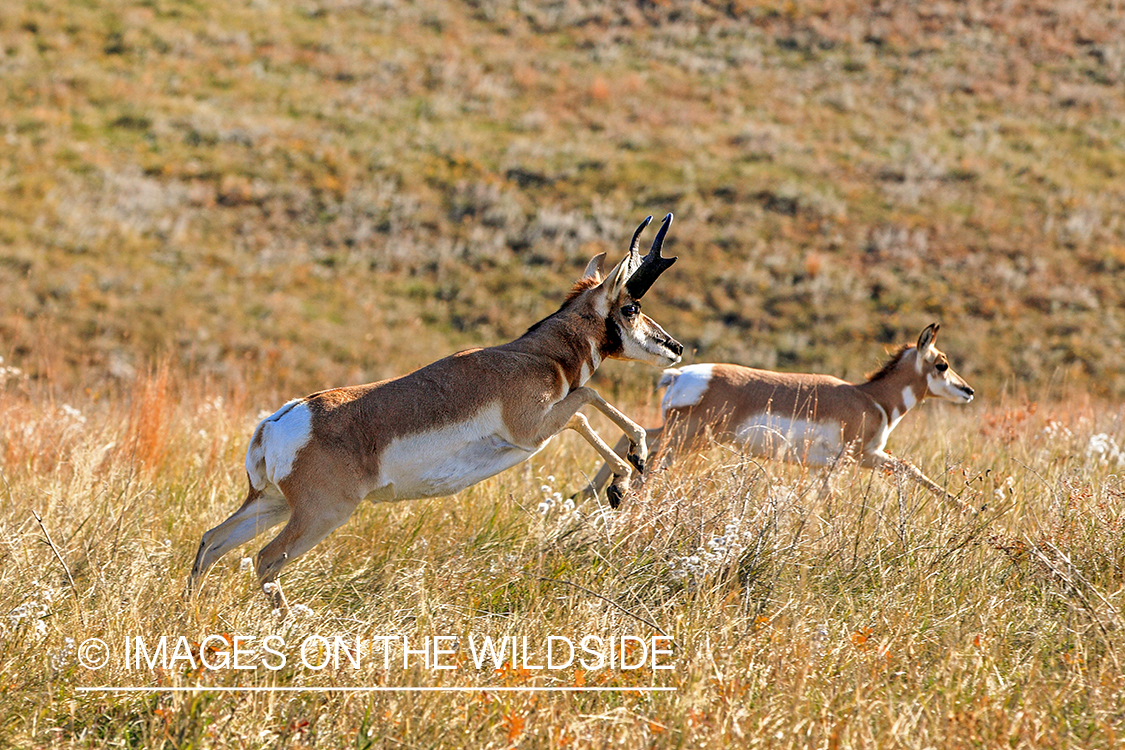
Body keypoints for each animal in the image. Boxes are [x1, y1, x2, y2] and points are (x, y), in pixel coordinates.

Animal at [188, 215, 683, 613]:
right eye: (631, 307)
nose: (676, 347)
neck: (534, 355)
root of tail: (279, 421)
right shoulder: (534, 429)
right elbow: (587, 401)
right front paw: (626, 473)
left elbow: (585, 405)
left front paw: (628, 471)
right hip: (320, 514)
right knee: (264, 559)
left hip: (270, 503)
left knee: (212, 540)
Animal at [584, 324, 976, 512]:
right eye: (942, 364)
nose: (968, 390)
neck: (871, 397)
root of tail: (679, 374)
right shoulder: (864, 456)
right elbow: (911, 468)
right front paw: (971, 508)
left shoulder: (824, 468)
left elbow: (827, 498)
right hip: (687, 439)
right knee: (647, 463)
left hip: (678, 432)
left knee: (638, 439)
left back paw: (587, 494)